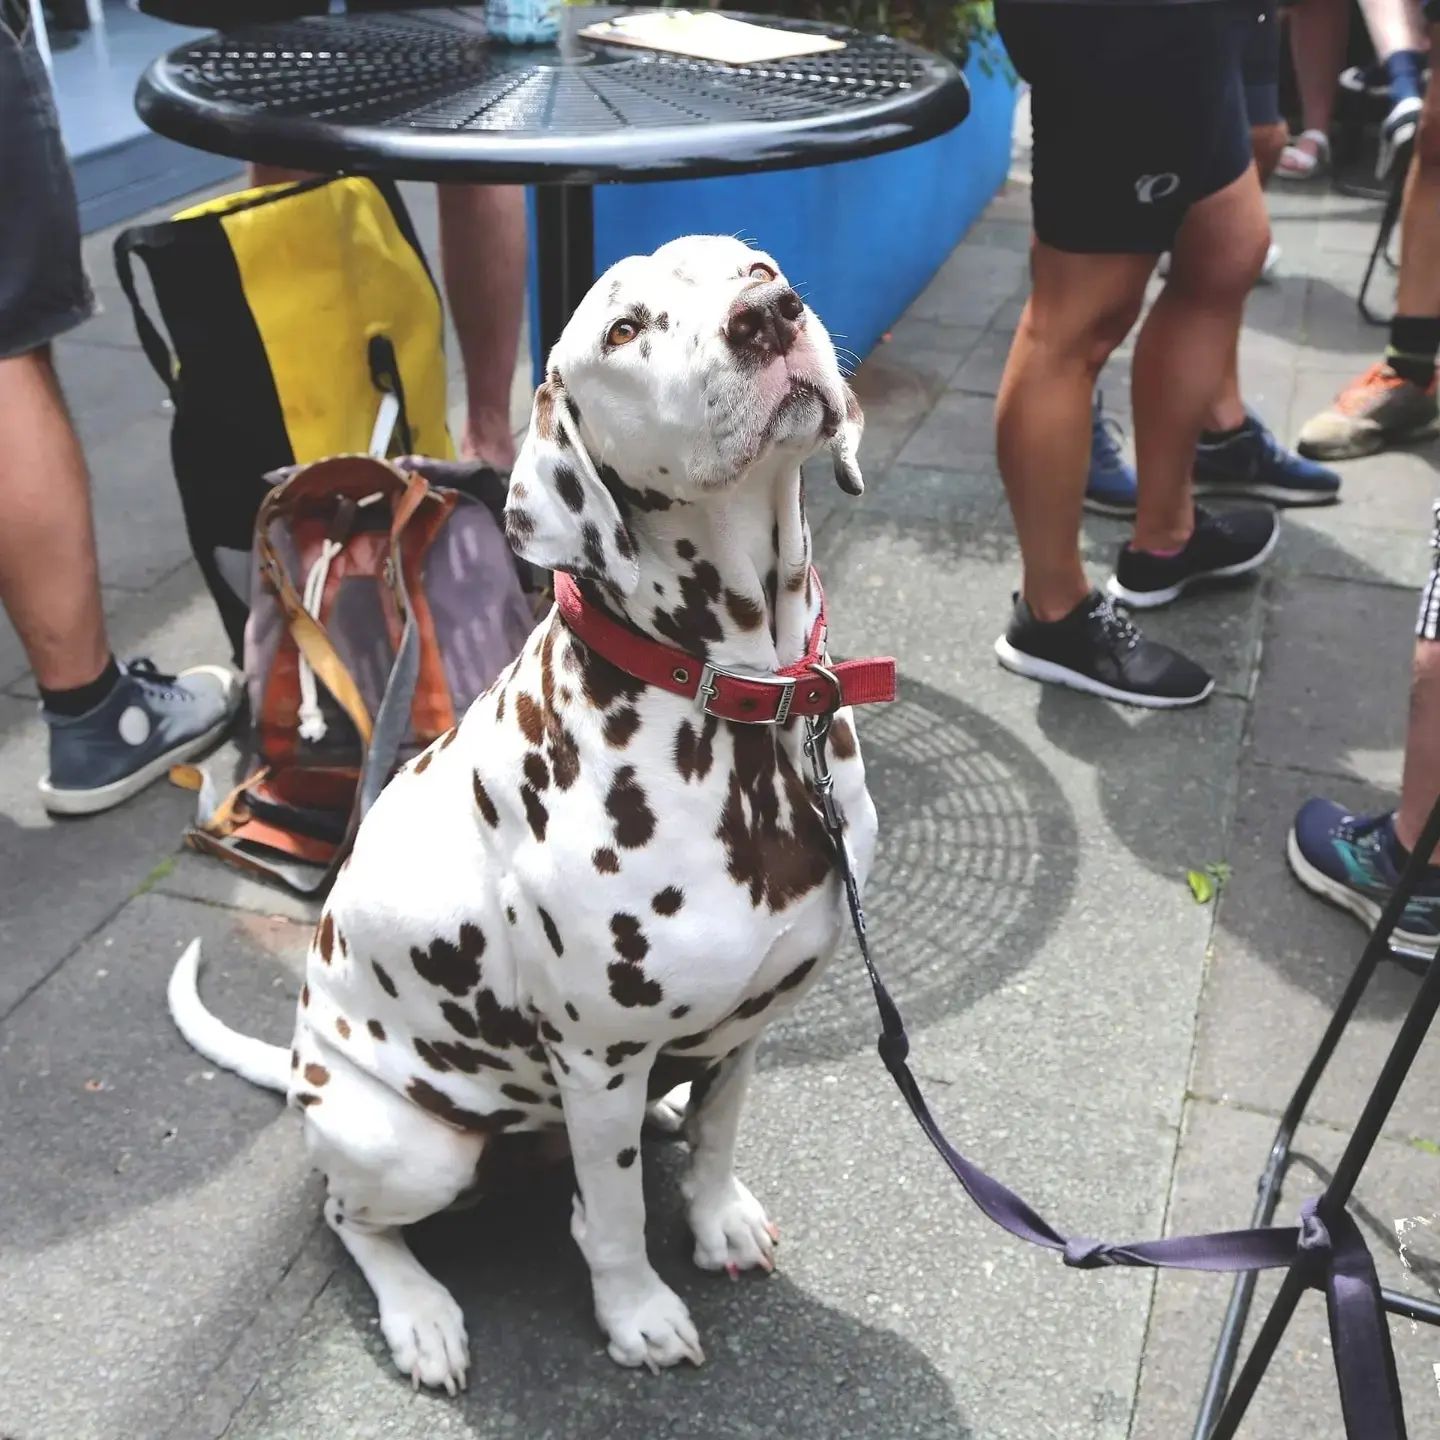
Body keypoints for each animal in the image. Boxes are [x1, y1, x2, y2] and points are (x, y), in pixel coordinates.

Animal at [174, 230, 881, 1388]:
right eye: (625, 328)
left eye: (753, 265)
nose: (769, 316)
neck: (734, 705)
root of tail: (302, 1065)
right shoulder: (595, 1060)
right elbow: (612, 1221)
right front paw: (636, 1313)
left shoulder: (749, 1020)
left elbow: (721, 1134)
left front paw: (716, 1216)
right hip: (411, 1146)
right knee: (347, 1218)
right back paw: (419, 1312)